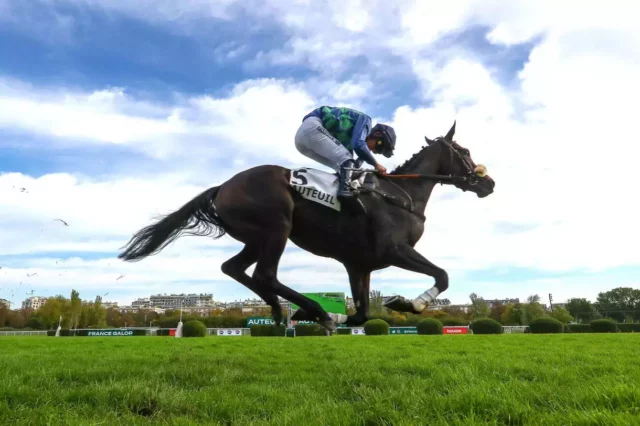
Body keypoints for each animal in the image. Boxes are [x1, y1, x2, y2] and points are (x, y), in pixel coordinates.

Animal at [116, 121, 496, 332]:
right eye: (464, 151)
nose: (488, 183)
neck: (401, 195)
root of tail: (222, 186)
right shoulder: (394, 249)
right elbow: (442, 275)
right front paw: (410, 304)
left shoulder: (359, 264)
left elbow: (362, 312)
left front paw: (357, 313)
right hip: (277, 227)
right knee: (264, 274)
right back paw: (313, 311)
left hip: (255, 237)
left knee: (234, 268)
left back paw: (280, 311)